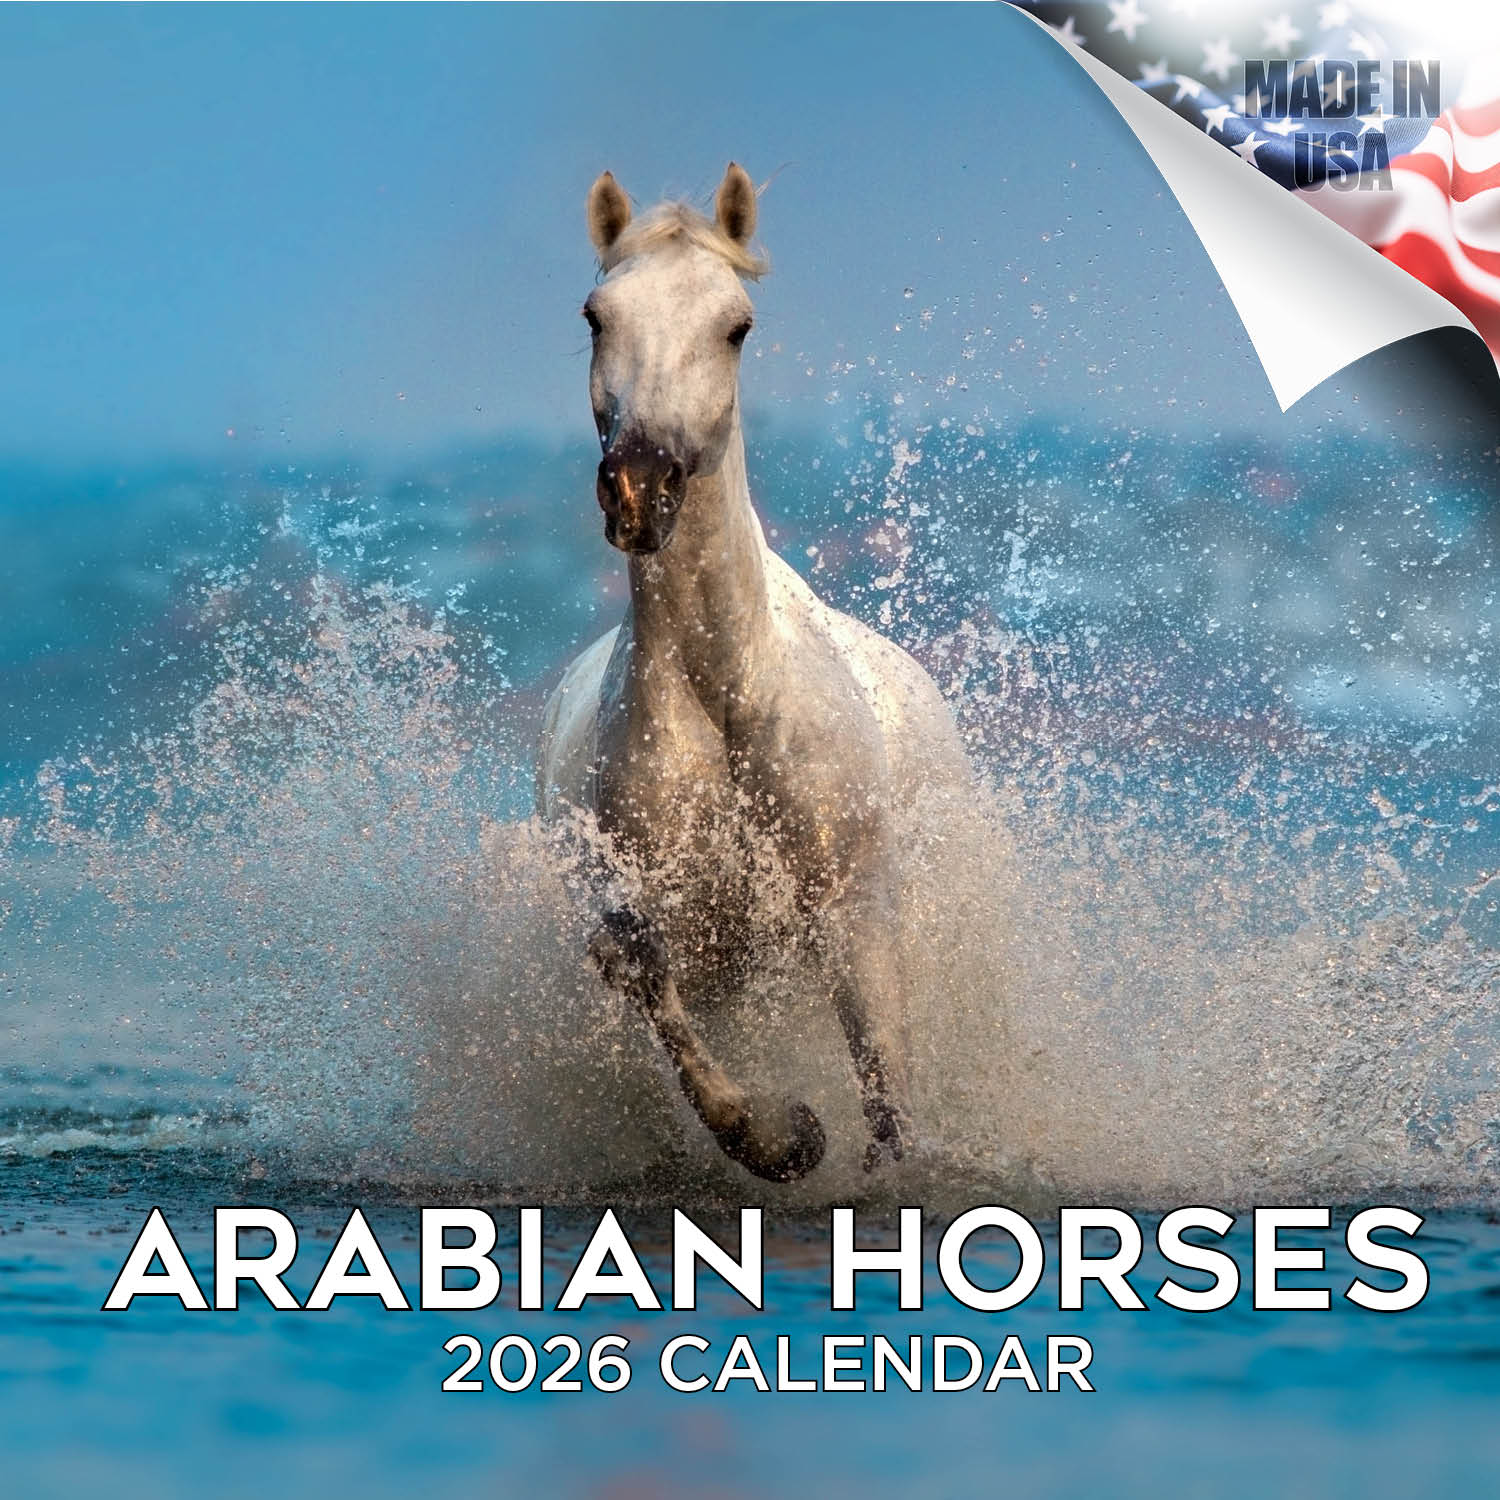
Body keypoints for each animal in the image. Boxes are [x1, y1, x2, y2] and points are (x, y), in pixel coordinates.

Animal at [535, 163, 975, 1183]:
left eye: (736, 324)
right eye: (595, 315)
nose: (640, 487)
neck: (726, 695)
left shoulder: (853, 910)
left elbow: (887, 1089)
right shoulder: (664, 920)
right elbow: (645, 977)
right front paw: (784, 1135)